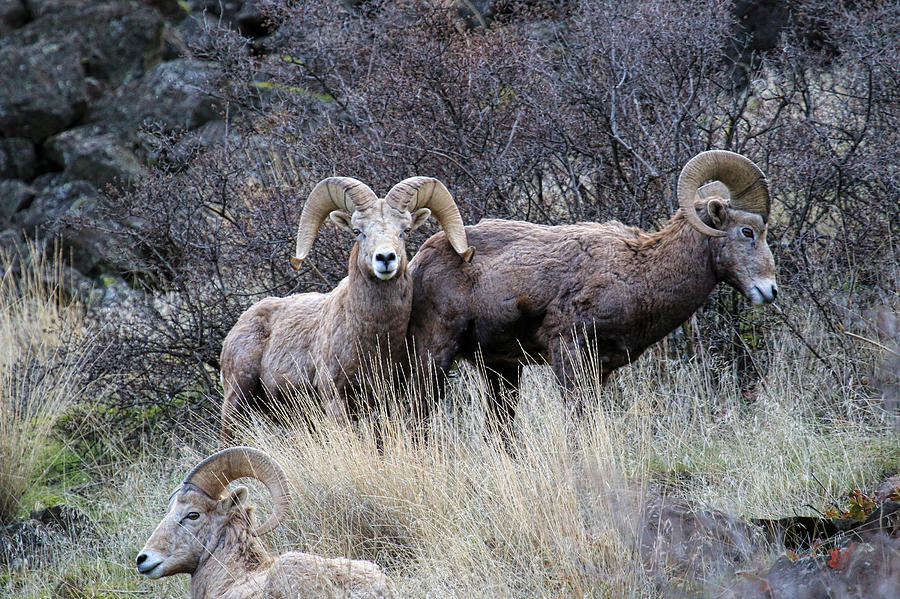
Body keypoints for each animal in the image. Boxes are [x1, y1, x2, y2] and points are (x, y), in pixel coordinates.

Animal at [220, 176, 472, 442]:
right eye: (357, 231)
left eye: (405, 230)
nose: (385, 258)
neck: (374, 341)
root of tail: (240, 324)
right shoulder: (335, 400)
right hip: (237, 399)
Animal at [412, 152, 776, 428]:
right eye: (747, 231)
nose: (769, 290)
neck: (640, 272)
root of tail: (419, 260)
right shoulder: (569, 353)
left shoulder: (600, 370)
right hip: (435, 355)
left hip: (501, 371)